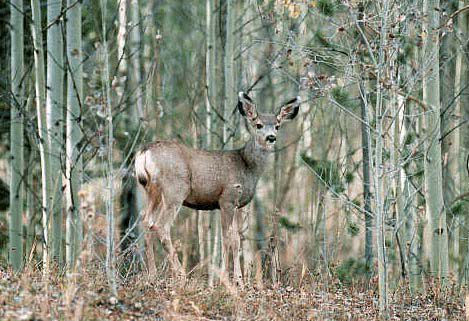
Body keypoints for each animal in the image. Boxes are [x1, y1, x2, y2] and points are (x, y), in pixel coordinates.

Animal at [134, 91, 300, 282]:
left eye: (277, 126)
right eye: (258, 125)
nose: (271, 137)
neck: (247, 166)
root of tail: (144, 152)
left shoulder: (236, 204)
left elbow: (236, 239)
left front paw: (239, 279)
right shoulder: (227, 198)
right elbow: (227, 238)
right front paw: (225, 278)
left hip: (152, 191)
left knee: (146, 221)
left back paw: (152, 274)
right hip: (175, 189)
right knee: (161, 226)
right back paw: (181, 274)